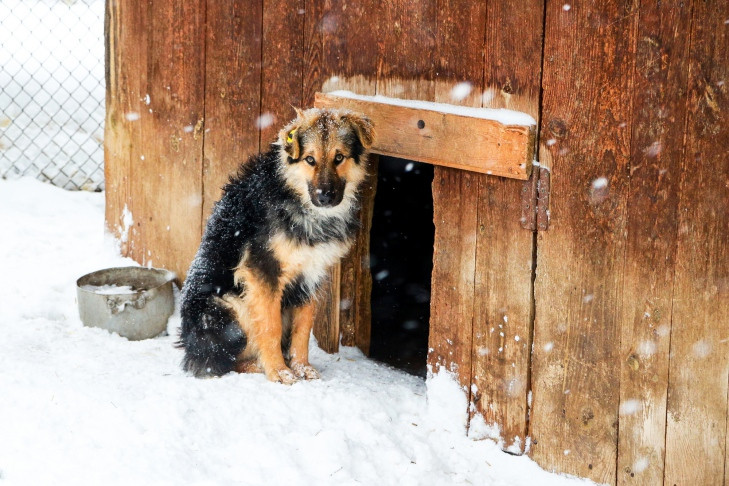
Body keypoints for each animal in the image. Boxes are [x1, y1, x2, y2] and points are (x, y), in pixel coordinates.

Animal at [177, 107, 376, 384]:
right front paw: (279, 371)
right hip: (228, 305)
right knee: (217, 363)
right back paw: (256, 365)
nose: (325, 197)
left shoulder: (311, 275)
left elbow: (303, 329)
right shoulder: (262, 271)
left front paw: (302, 366)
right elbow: (270, 327)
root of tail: (189, 346)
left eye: (339, 157)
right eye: (310, 160)